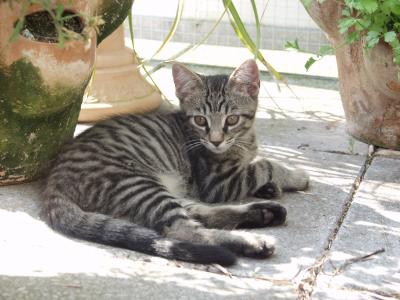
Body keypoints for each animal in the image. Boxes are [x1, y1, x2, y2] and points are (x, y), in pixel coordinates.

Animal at [41, 59, 310, 264]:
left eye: (232, 119)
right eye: (200, 120)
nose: (215, 141)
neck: (243, 140)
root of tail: (54, 179)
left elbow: (257, 164)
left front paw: (271, 187)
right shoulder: (217, 183)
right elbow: (265, 165)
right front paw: (295, 175)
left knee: (196, 212)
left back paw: (265, 212)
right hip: (136, 182)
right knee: (185, 230)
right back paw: (253, 241)